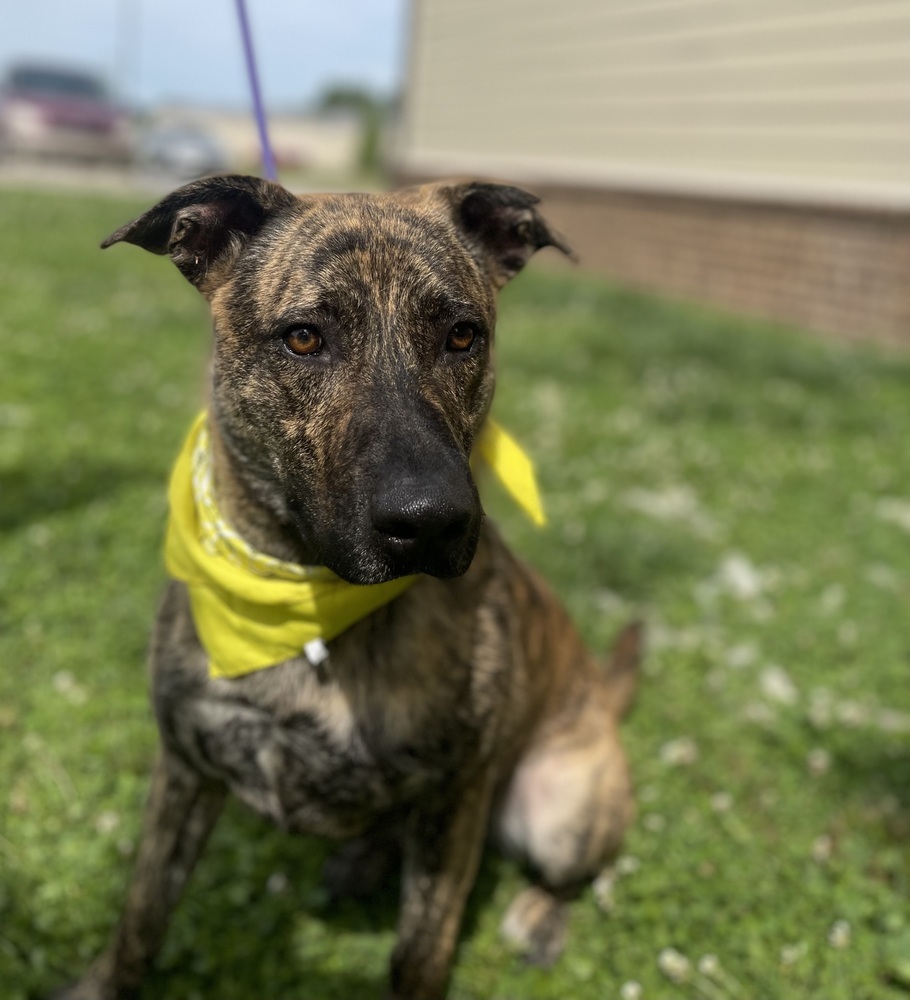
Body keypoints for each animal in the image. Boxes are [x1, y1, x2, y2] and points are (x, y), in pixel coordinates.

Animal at [57, 176, 640, 996]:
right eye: (304, 338)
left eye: (463, 336)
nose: (432, 522)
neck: (306, 608)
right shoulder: (184, 770)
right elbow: (143, 912)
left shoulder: (458, 795)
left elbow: (420, 952)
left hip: (559, 806)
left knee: (563, 871)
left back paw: (537, 912)